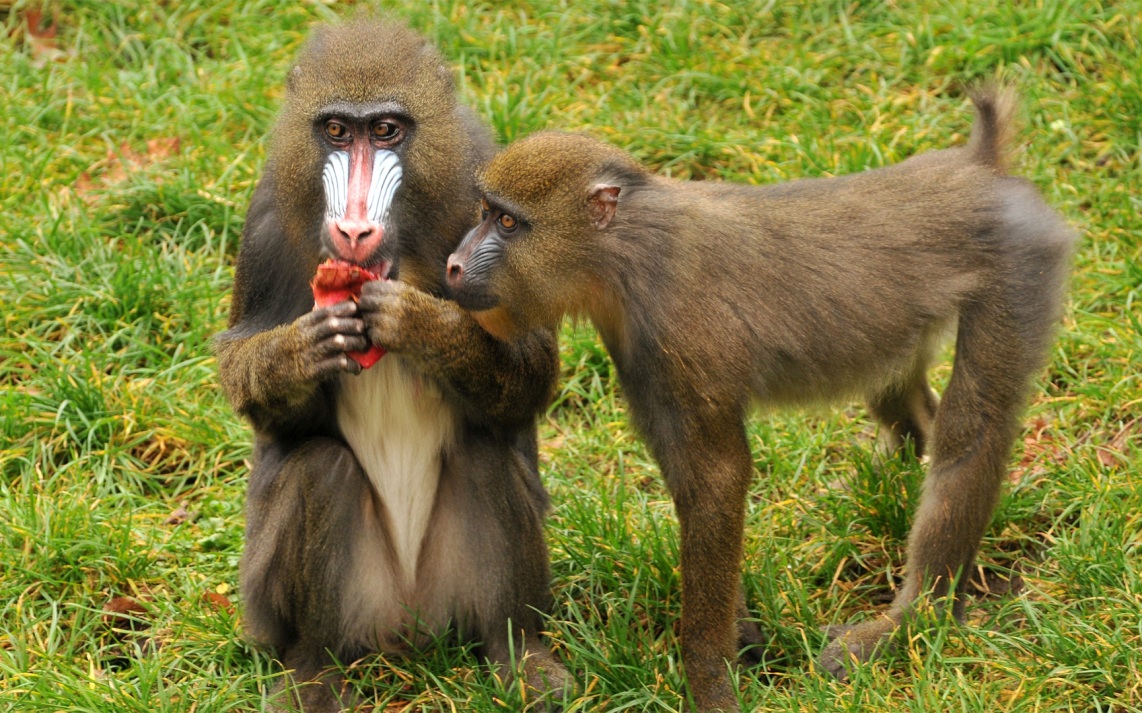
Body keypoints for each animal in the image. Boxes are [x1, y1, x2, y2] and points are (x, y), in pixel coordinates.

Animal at [213, 19, 567, 712]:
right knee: (319, 472)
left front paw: (422, 325)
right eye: (336, 131)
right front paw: (301, 353)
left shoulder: (496, 221)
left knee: (484, 455)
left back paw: (521, 656)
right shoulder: (264, 228)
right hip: (306, 605)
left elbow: (532, 370)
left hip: (455, 593)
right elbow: (248, 375)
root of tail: (408, 626)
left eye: (385, 131)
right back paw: (310, 675)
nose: (353, 231)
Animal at [444, 87, 1074, 712]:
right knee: (901, 397)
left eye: (507, 221)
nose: (452, 264)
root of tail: (980, 168)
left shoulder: (680, 331)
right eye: (484, 213)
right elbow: (692, 484)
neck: (626, 251)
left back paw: (911, 621)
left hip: (1017, 267)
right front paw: (741, 633)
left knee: (973, 427)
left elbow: (718, 479)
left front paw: (710, 682)